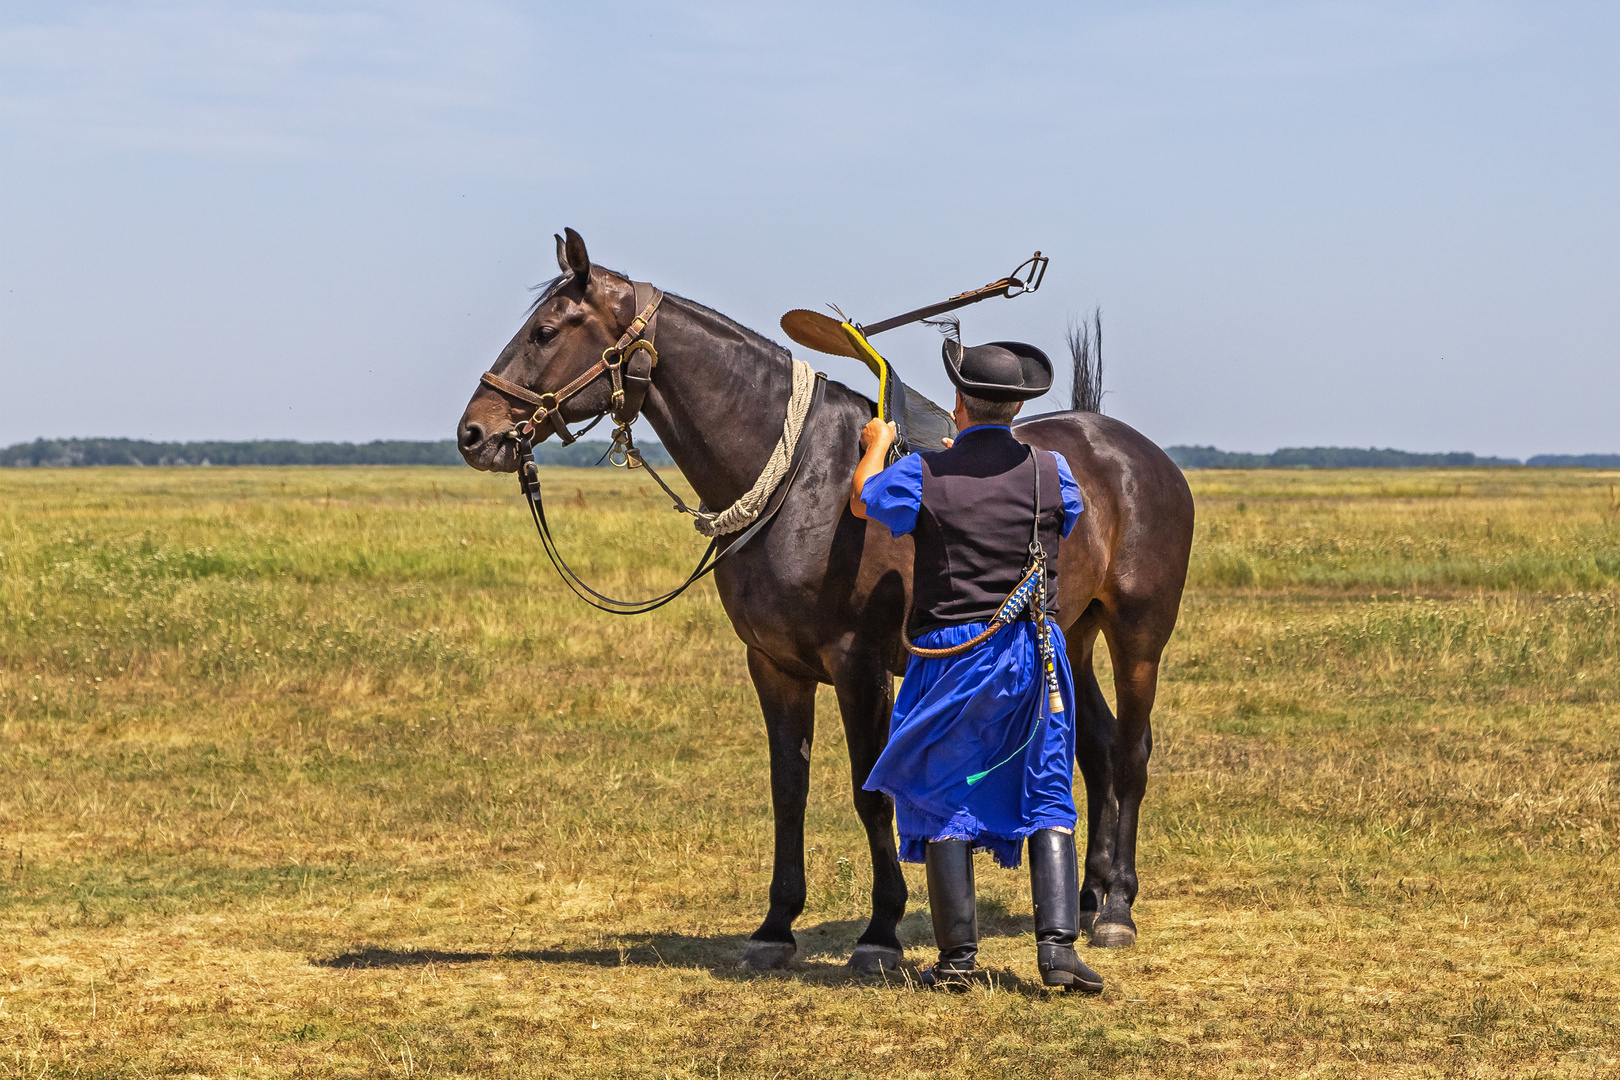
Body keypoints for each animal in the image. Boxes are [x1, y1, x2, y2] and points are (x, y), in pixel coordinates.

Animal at [456, 229, 1192, 971]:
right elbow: (789, 789)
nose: (474, 434)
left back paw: (1118, 907)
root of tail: (1129, 449)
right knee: (1096, 748)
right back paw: (1091, 895)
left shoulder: (858, 665)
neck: (806, 482)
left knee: (1131, 753)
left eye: (546, 331)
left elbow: (871, 793)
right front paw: (776, 924)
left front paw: (881, 931)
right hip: (1071, 634)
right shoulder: (774, 666)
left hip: (1137, 637)